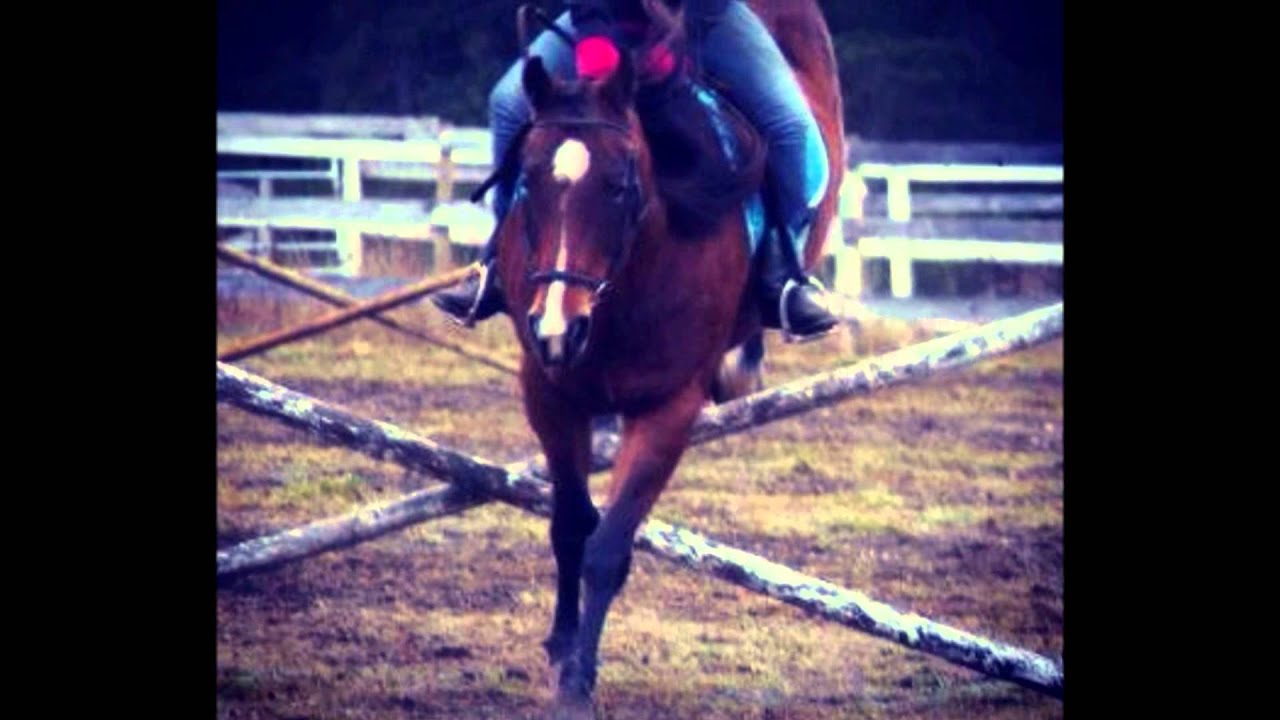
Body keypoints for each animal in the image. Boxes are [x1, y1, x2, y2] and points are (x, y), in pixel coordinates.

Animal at [490, 1, 845, 716]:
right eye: (527, 180)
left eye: (622, 184)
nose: (557, 326)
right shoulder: (547, 391)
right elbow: (570, 525)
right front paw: (561, 649)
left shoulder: (668, 408)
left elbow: (606, 548)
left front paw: (578, 682)